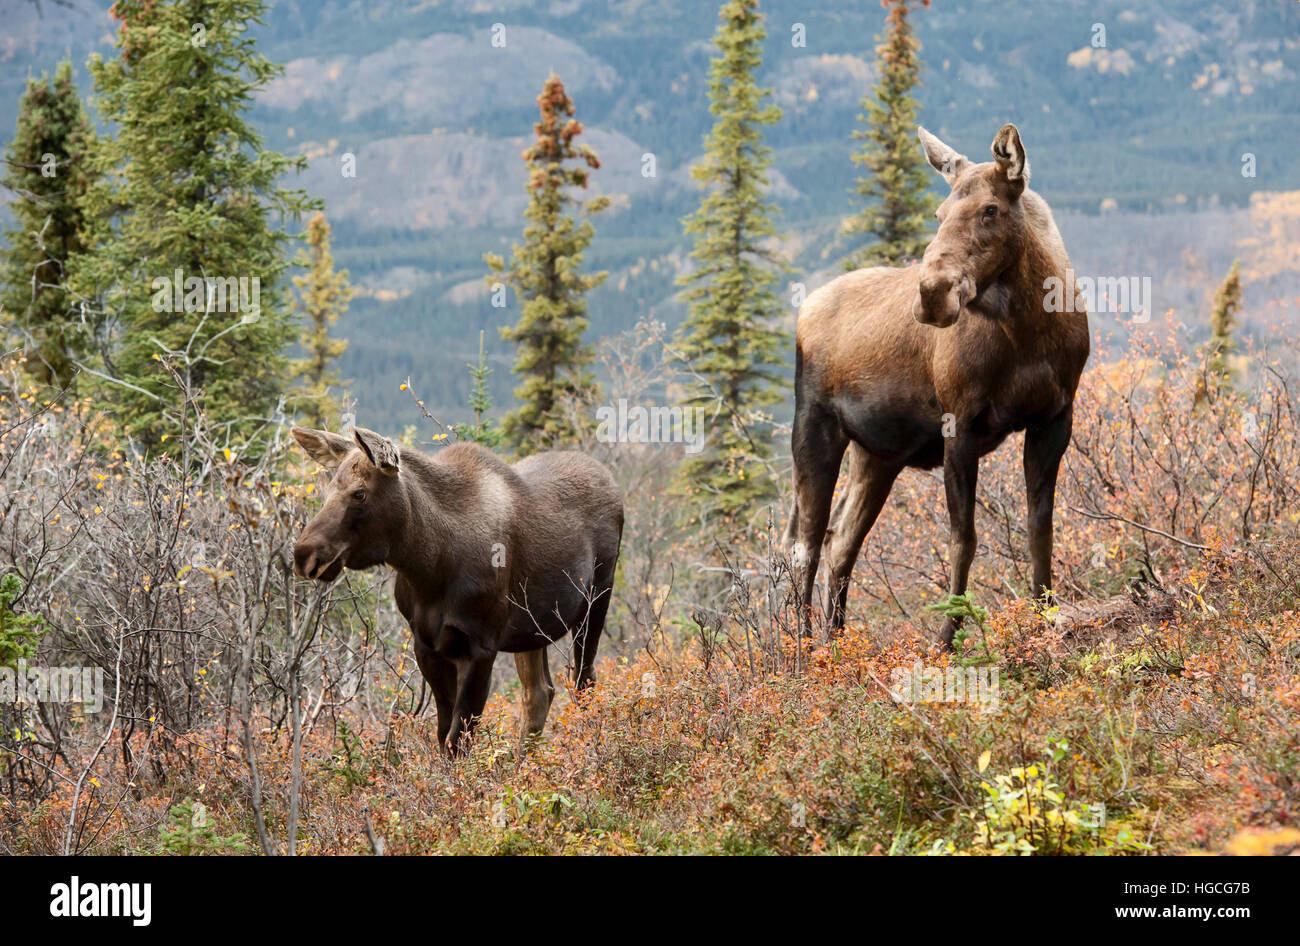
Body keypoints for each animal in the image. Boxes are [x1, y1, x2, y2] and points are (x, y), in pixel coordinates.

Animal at [785, 123, 1090, 647]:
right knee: (804, 544)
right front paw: (947, 635)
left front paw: (1043, 614)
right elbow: (963, 538)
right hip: (813, 426)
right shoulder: (959, 422)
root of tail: (804, 313)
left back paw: (838, 644)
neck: (1028, 332)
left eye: (990, 209)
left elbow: (1040, 527)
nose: (932, 293)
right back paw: (804, 649)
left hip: (878, 454)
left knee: (841, 539)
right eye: (939, 214)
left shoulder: (1055, 416)